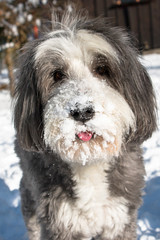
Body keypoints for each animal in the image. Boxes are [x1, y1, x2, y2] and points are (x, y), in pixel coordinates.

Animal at [13, 9, 156, 240]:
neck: (88, 160)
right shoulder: (59, 223)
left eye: (102, 69)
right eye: (57, 75)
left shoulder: (119, 219)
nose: (81, 111)